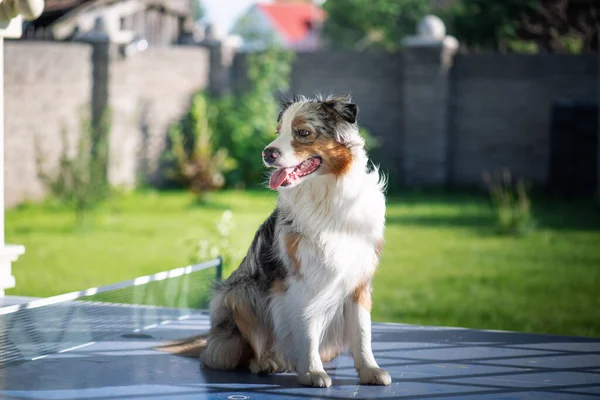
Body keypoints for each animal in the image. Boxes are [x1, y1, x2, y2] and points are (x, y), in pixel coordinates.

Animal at [157, 93, 390, 388]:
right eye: (278, 133)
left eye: (303, 133)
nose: (267, 153)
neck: (327, 196)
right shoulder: (300, 278)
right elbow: (307, 326)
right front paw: (312, 372)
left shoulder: (359, 276)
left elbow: (362, 331)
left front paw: (370, 370)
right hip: (238, 293)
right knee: (243, 354)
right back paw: (267, 362)